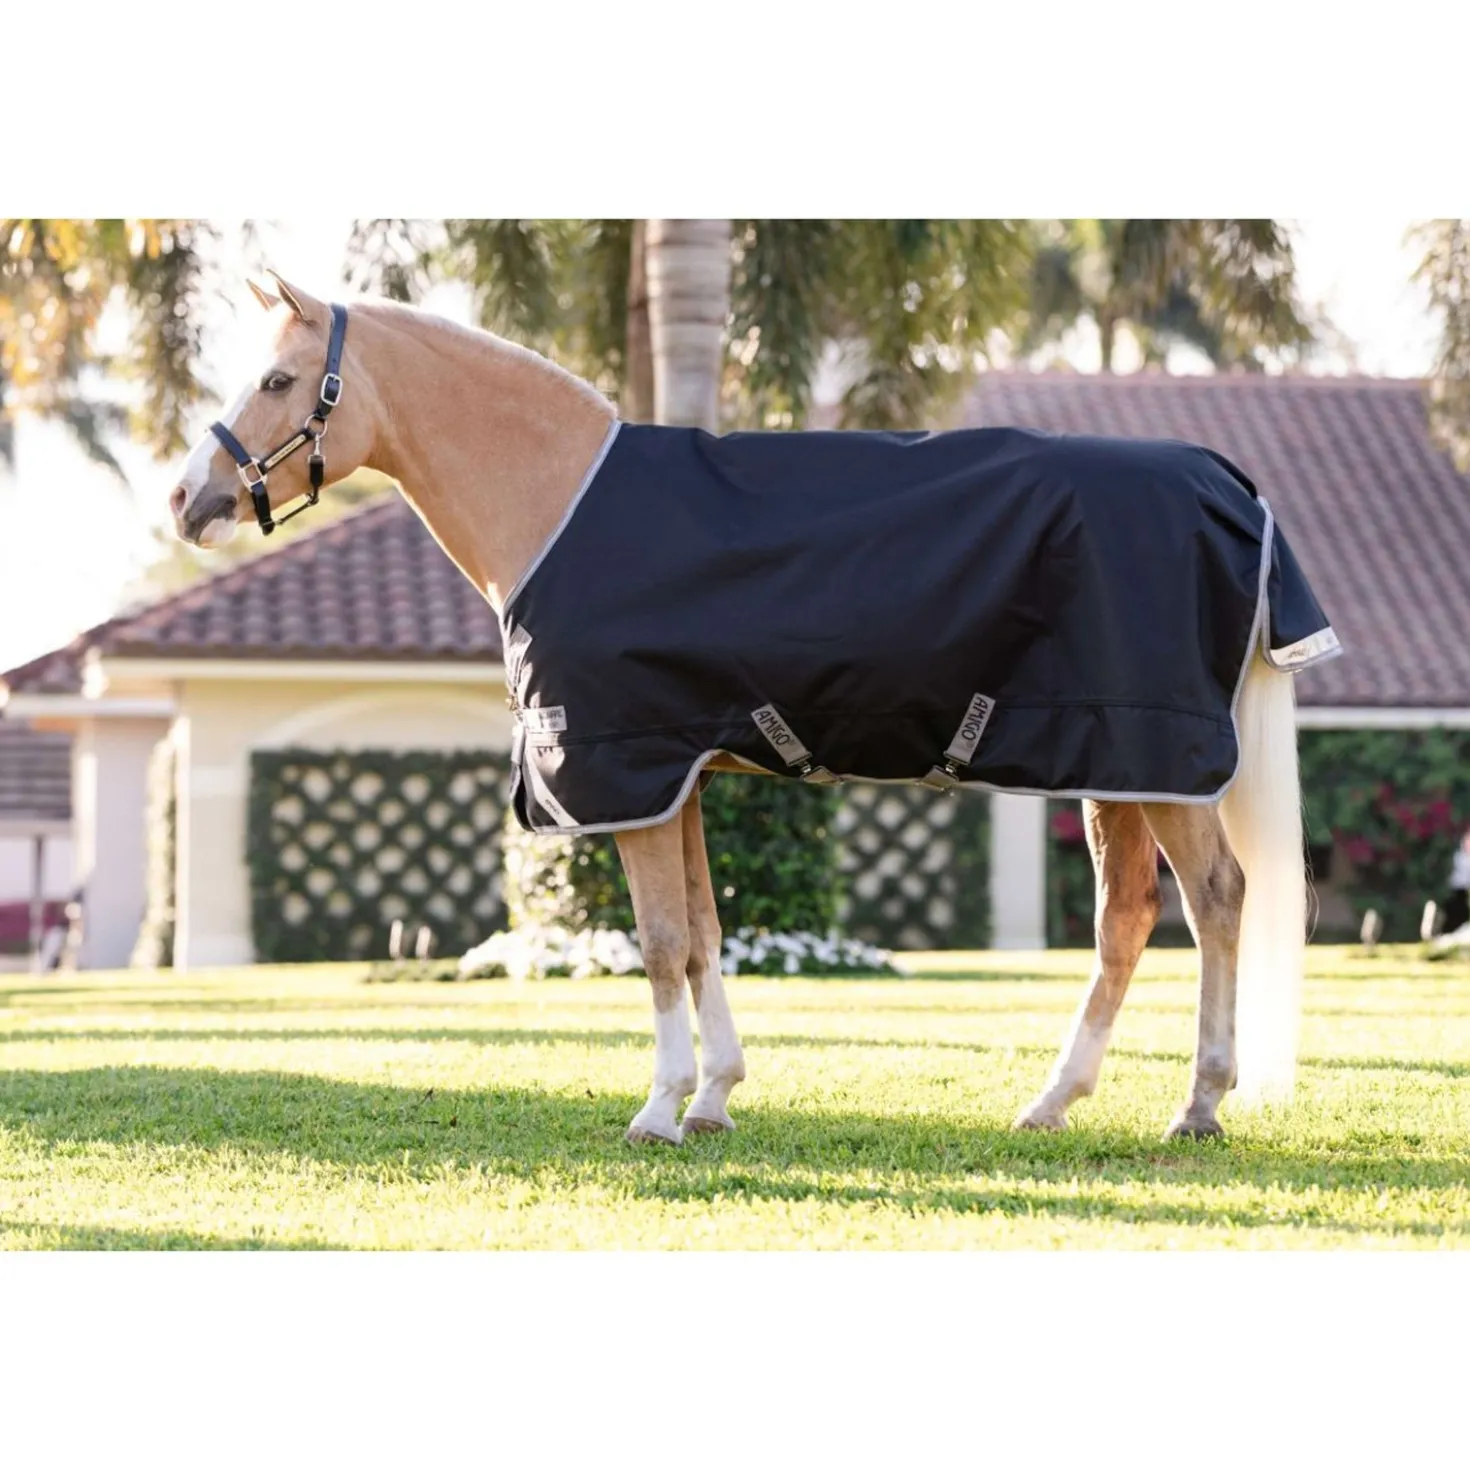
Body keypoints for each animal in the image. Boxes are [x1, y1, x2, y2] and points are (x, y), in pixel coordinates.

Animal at [168, 272, 1315, 1145]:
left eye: (278, 380)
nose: (186, 500)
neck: (559, 500)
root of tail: (1226, 484)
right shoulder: (678, 775)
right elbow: (706, 934)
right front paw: (715, 1095)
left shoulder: (627, 770)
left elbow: (659, 940)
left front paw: (660, 1108)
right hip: (1116, 762)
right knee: (1127, 918)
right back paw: (1053, 1102)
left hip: (1158, 759)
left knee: (1216, 897)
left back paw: (1198, 1105)